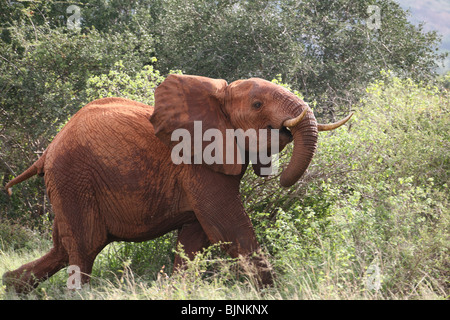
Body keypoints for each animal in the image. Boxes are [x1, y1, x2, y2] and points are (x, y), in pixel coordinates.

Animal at [2, 74, 352, 292]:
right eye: (257, 105)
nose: (282, 180)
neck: (218, 96)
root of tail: (48, 149)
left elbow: (194, 238)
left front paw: (176, 288)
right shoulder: (199, 166)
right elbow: (230, 229)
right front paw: (274, 292)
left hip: (67, 183)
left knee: (64, 248)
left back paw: (10, 285)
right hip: (73, 178)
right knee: (85, 247)